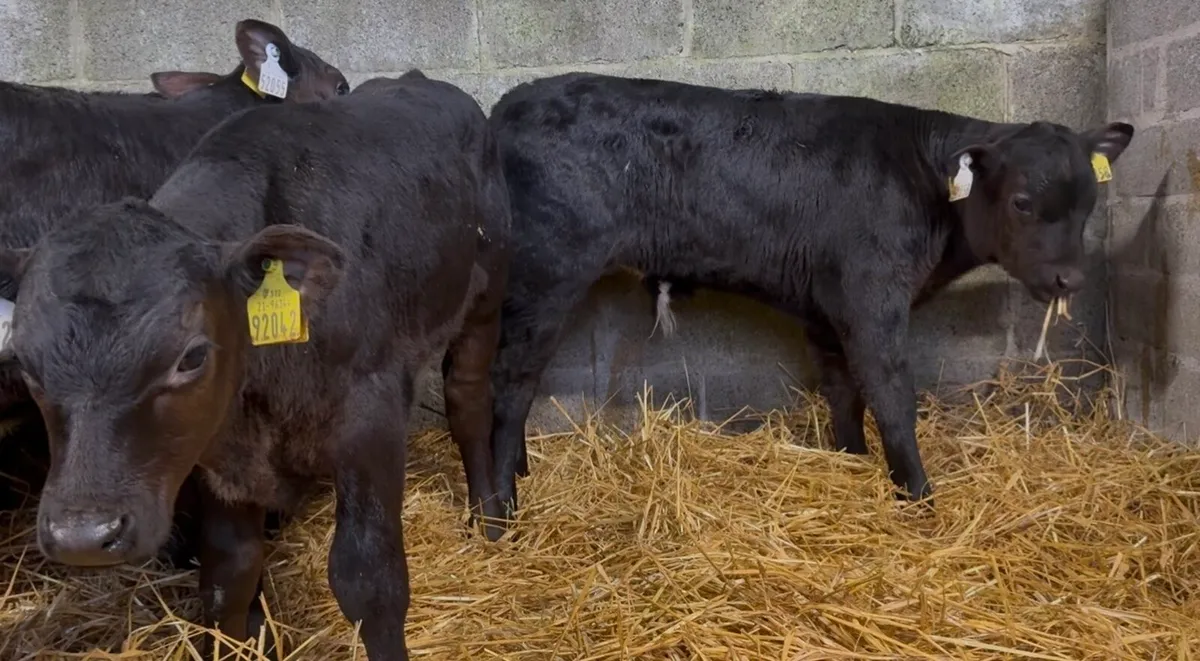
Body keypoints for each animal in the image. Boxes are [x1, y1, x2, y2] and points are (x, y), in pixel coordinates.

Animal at [484, 72, 1134, 521]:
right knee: (509, 383)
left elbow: (844, 391)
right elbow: (891, 395)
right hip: (547, 274)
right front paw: (919, 496)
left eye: (1089, 202)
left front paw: (852, 461)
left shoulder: (828, 308)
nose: (1070, 281)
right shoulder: (872, 299)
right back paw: (500, 508)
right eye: (1022, 201)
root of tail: (511, 102)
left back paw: (518, 474)